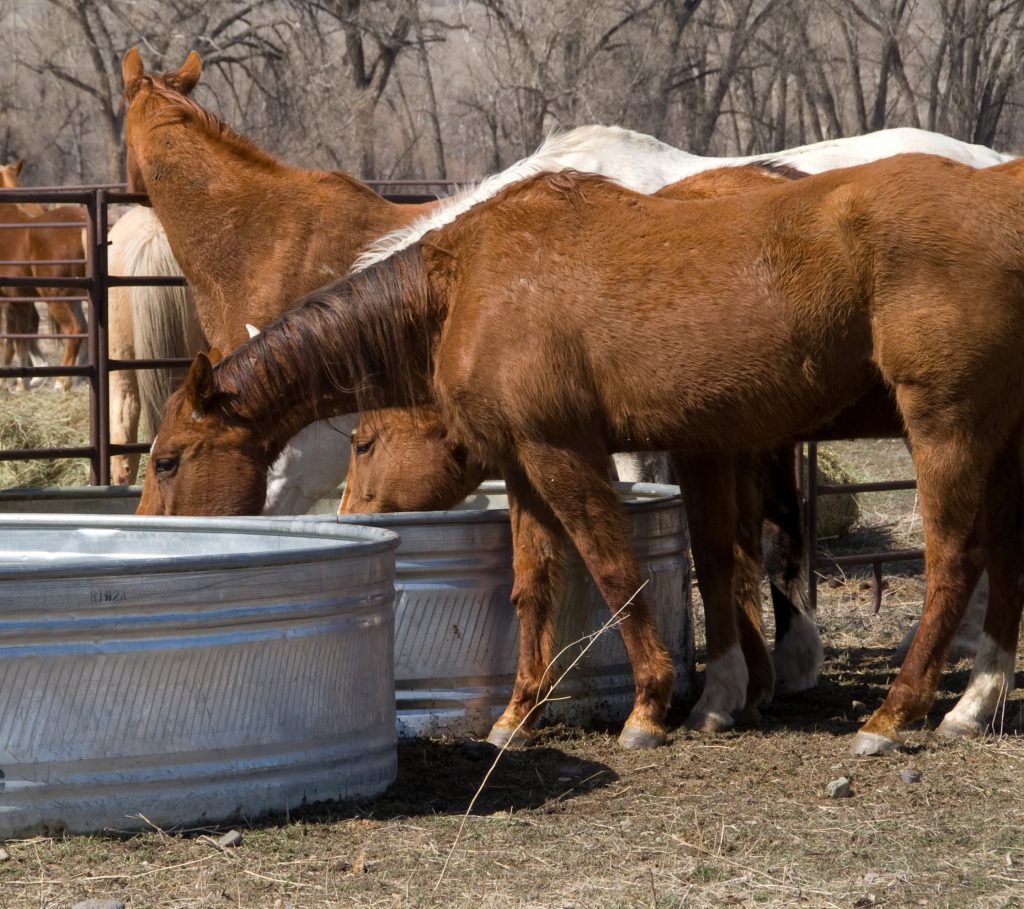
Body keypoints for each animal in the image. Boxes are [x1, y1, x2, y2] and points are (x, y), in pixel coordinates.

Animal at [140, 157, 1024, 761]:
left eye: (170, 459)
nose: (149, 525)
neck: (470, 281)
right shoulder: (525, 463)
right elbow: (536, 584)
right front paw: (517, 714)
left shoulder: (564, 450)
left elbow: (613, 568)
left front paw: (649, 707)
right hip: (995, 436)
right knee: (1002, 562)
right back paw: (974, 701)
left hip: (942, 424)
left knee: (954, 560)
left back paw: (894, 714)